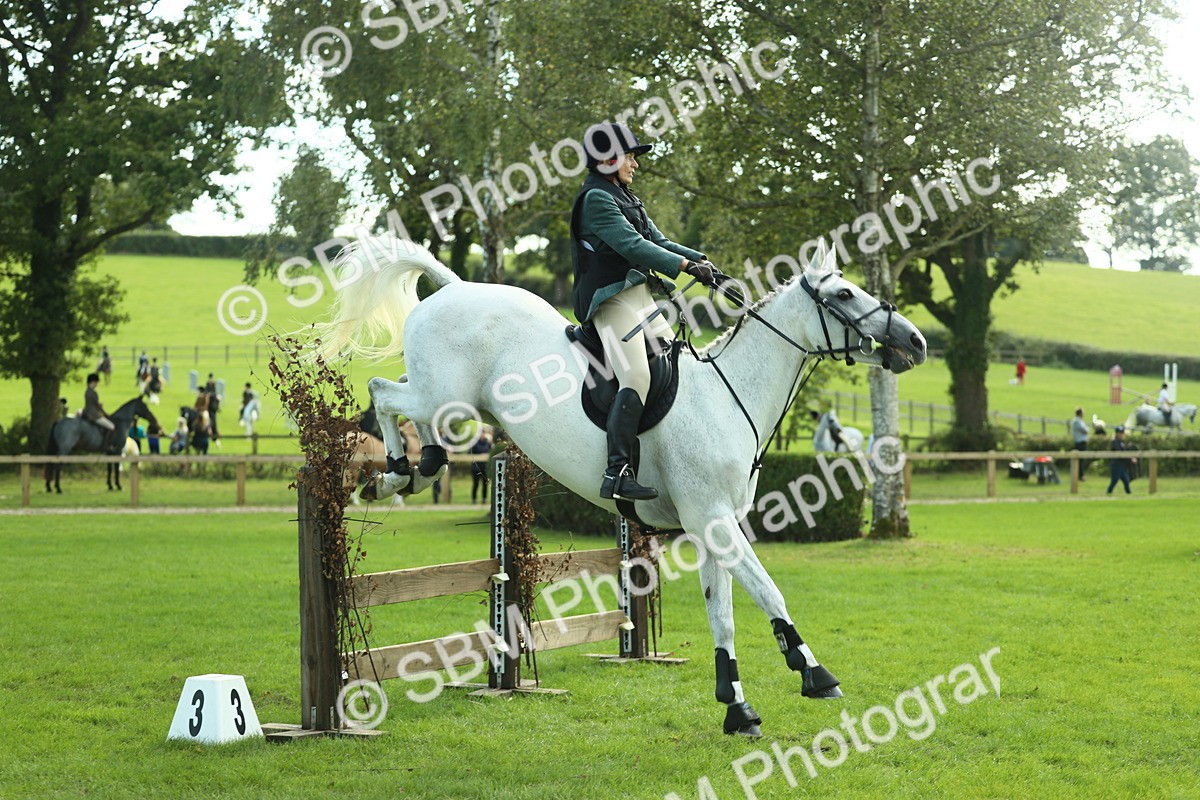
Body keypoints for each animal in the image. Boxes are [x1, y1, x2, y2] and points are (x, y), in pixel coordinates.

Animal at [318, 236, 927, 736]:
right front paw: (815, 674)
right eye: (845, 293)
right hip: (443, 397)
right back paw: (398, 469)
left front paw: (736, 708)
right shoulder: (713, 518)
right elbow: (768, 591)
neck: (729, 395)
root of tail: (456, 287)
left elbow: (723, 612)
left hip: (448, 401)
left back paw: (419, 466)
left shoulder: (712, 525)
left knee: (403, 399)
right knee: (384, 392)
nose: (917, 342)